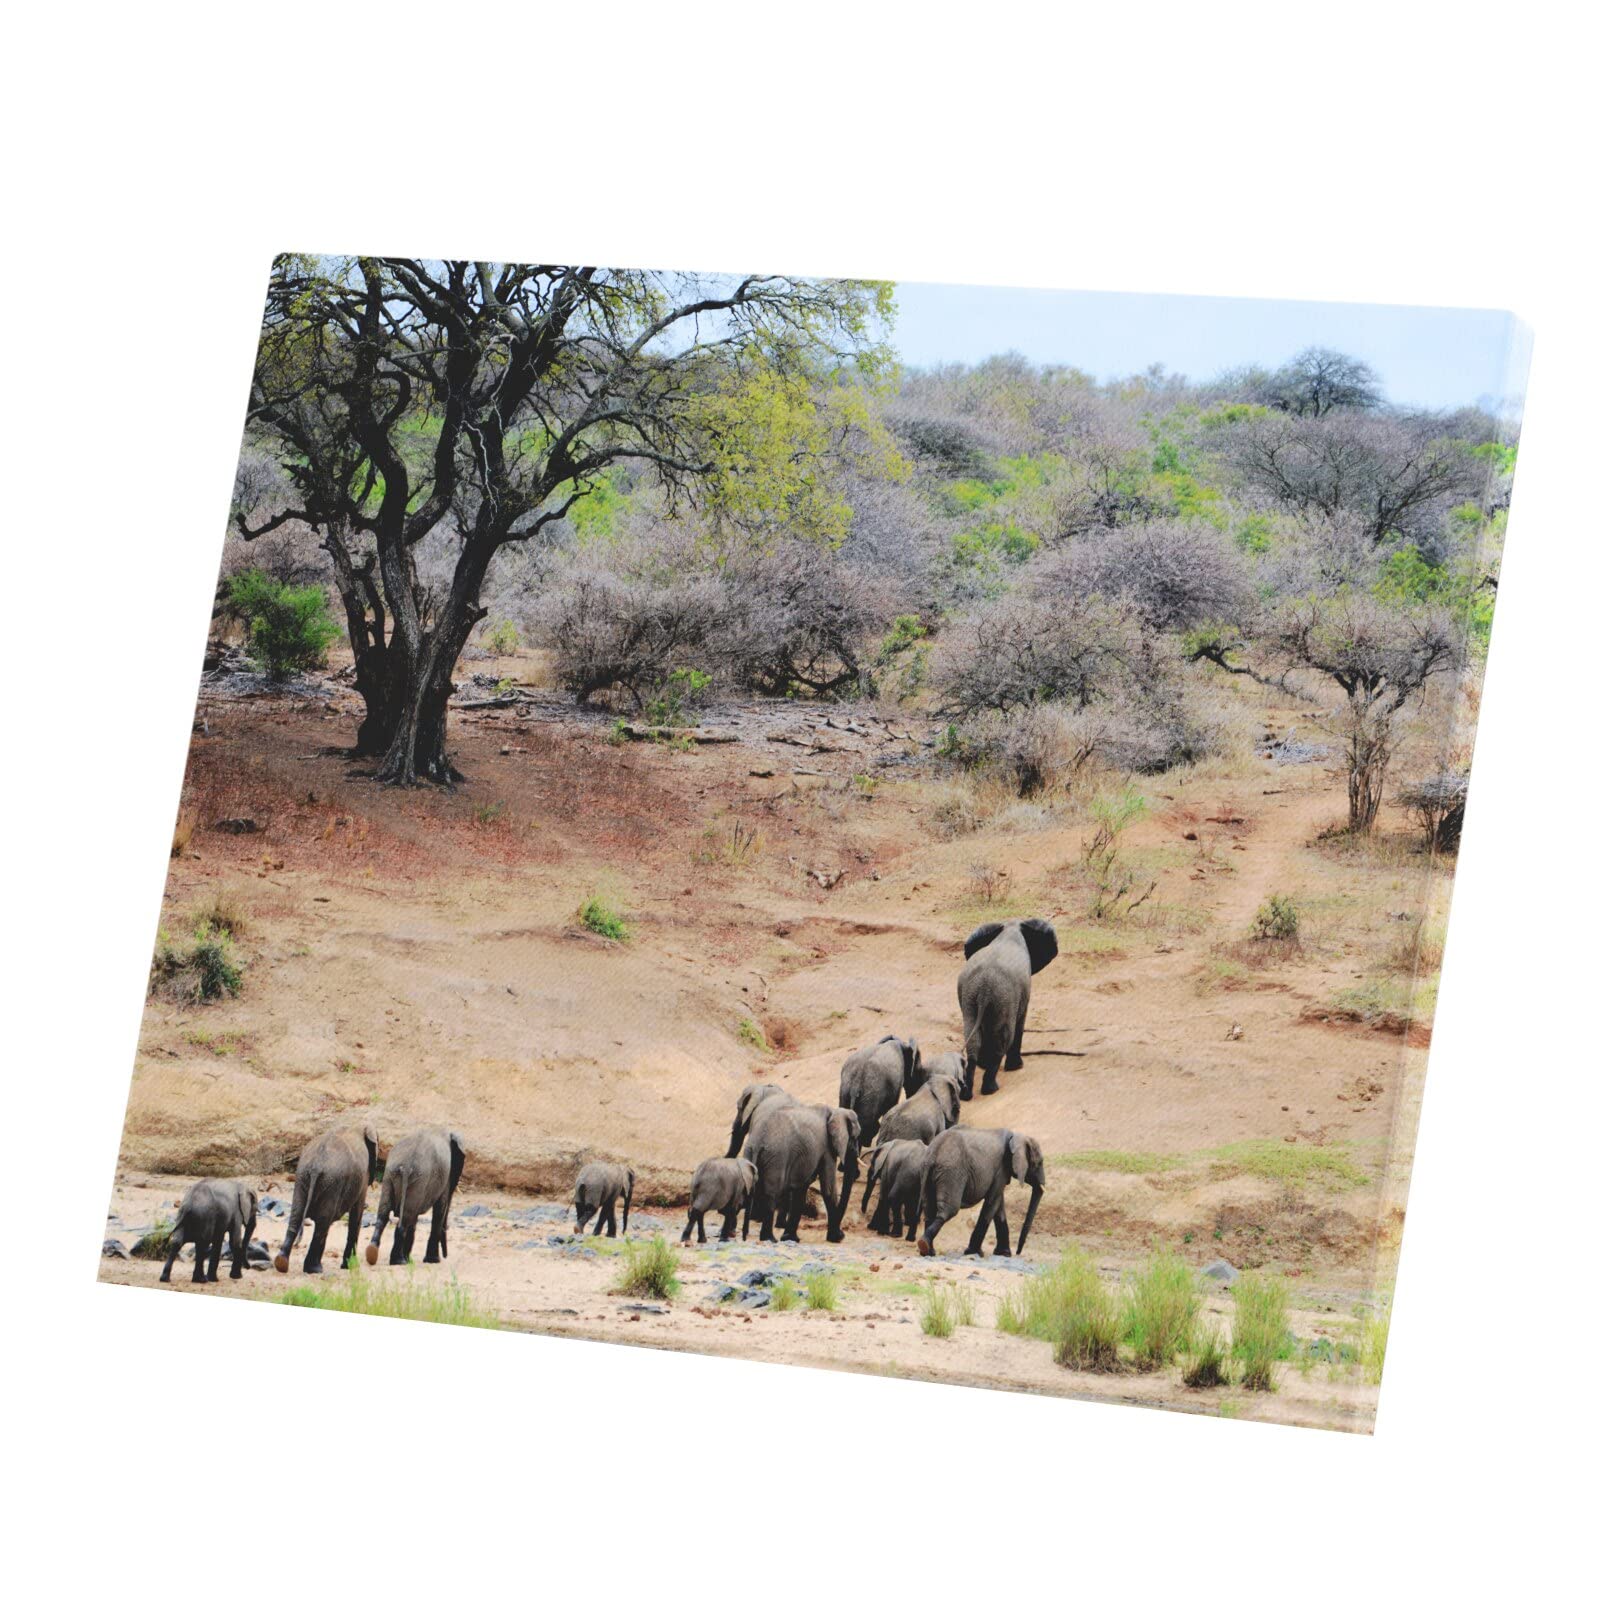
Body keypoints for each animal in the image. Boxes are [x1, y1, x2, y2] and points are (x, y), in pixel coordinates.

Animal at [275, 1123, 378, 1274]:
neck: (357, 1126)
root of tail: (316, 1166)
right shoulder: (363, 1176)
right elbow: (357, 1214)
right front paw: (350, 1266)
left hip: (302, 1178)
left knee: (297, 1216)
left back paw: (281, 1263)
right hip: (331, 1182)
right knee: (322, 1223)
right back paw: (315, 1269)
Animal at [365, 1127, 466, 1266]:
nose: (445, 1256)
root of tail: (405, 1165)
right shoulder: (445, 1177)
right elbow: (439, 1210)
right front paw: (433, 1260)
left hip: (390, 1176)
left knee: (383, 1215)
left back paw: (373, 1253)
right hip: (418, 1180)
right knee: (405, 1219)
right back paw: (399, 1261)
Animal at [744, 1104, 860, 1244]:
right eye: (855, 1137)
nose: (842, 1234)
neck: (835, 1111)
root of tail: (758, 1142)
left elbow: (801, 1189)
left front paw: (790, 1238)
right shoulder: (827, 1148)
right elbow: (828, 1188)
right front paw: (837, 1238)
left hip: (750, 1152)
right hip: (777, 1157)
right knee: (772, 1193)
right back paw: (769, 1239)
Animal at [915, 1126, 1046, 1258]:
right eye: (1039, 1163)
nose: (1018, 1252)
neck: (1017, 1137)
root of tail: (934, 1151)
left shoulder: (1001, 1171)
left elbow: (998, 1205)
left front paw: (1003, 1254)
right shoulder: (1001, 1168)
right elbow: (992, 1202)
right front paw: (974, 1252)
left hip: (927, 1171)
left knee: (929, 1208)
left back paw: (928, 1251)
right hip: (952, 1172)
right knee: (948, 1210)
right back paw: (925, 1245)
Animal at [957, 918, 1058, 1099]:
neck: (1010, 928)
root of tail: (985, 987)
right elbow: (1020, 1022)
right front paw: (1017, 1067)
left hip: (970, 996)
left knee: (973, 1038)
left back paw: (966, 1094)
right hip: (1004, 998)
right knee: (1003, 1039)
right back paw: (991, 1089)